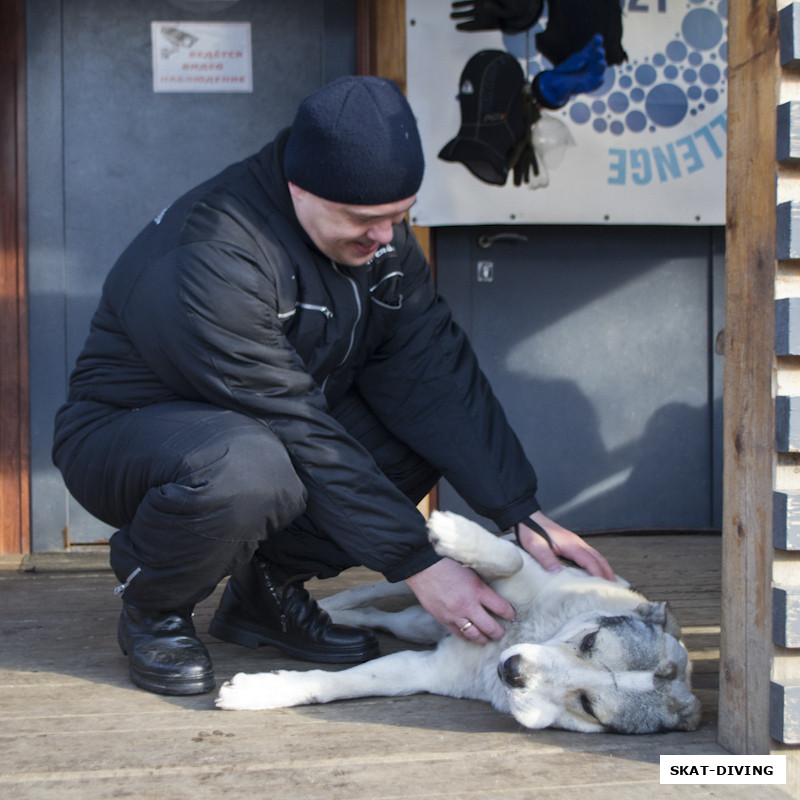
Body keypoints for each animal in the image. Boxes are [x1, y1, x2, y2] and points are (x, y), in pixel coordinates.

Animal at [217, 510, 700, 736]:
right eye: (590, 641)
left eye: (587, 705)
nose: (512, 670)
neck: (530, 633)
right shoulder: (523, 570)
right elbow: (510, 559)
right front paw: (456, 532)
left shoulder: (424, 669)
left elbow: (351, 682)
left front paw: (259, 691)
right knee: (378, 588)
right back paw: (326, 606)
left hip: (420, 625)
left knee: (386, 620)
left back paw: (335, 618)